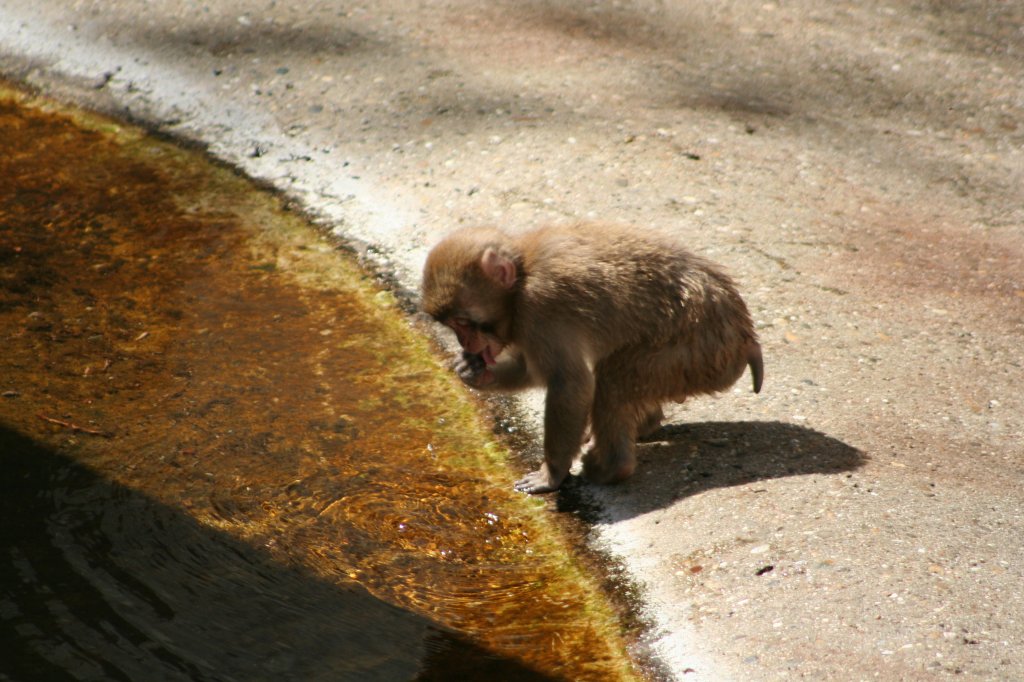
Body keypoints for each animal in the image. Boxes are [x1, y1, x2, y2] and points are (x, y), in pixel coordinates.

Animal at [419, 223, 765, 493]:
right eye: (452, 326)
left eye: (463, 323)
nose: (465, 342)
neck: (522, 277)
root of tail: (744, 333)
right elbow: (531, 370)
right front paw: (474, 372)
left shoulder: (539, 309)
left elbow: (569, 383)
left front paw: (552, 474)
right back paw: (643, 426)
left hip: (696, 352)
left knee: (613, 381)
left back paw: (613, 467)